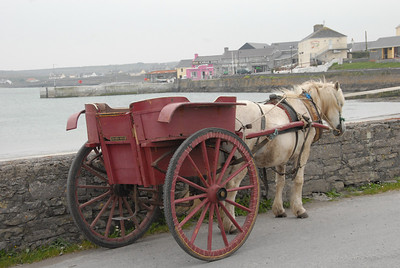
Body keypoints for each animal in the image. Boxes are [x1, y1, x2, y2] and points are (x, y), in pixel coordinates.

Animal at [222, 79, 344, 232]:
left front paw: (278, 209)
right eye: (340, 103)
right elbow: (298, 180)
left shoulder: (282, 156)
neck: (304, 107)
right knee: (231, 185)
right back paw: (230, 224)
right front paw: (299, 209)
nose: (341, 129)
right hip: (241, 160)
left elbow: (280, 182)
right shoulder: (304, 151)